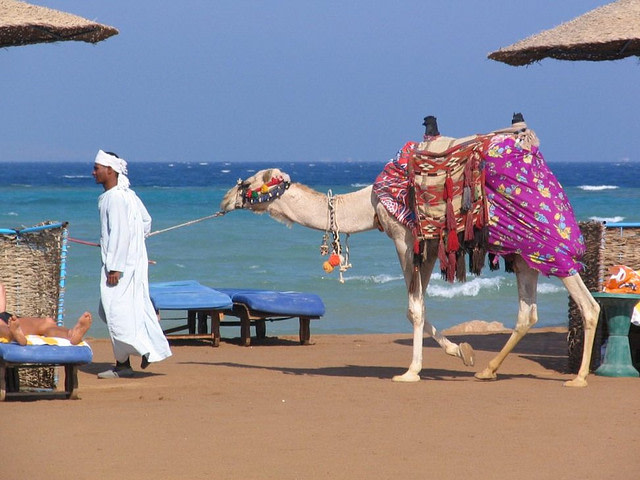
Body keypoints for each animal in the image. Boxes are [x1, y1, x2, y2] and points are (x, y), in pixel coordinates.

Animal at [220, 130, 600, 387]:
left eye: (249, 182)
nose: (225, 199)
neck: (370, 204)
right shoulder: (429, 248)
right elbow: (419, 306)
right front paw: (463, 351)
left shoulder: (404, 238)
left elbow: (413, 308)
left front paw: (411, 372)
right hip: (522, 251)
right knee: (527, 312)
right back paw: (487, 370)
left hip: (546, 243)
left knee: (588, 304)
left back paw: (579, 377)